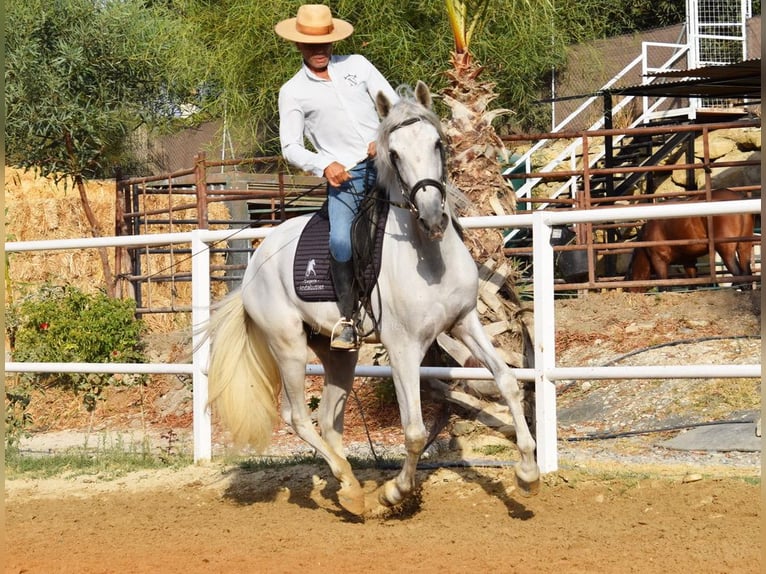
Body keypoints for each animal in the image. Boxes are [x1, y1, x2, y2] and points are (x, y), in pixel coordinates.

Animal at [202, 81, 540, 516]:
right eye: (394, 153)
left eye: (437, 143)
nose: (432, 217)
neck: (429, 258)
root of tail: (257, 260)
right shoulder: (403, 348)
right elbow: (414, 431)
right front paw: (396, 492)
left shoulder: (465, 323)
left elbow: (509, 382)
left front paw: (528, 475)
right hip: (288, 345)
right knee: (298, 417)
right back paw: (350, 487)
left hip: (338, 354)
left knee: (328, 418)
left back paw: (349, 489)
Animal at [626, 189, 755, 292]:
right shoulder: (688, 259)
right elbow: (692, 283)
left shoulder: (659, 260)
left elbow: (664, 287)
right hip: (744, 247)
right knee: (747, 273)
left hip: (726, 251)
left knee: (739, 274)